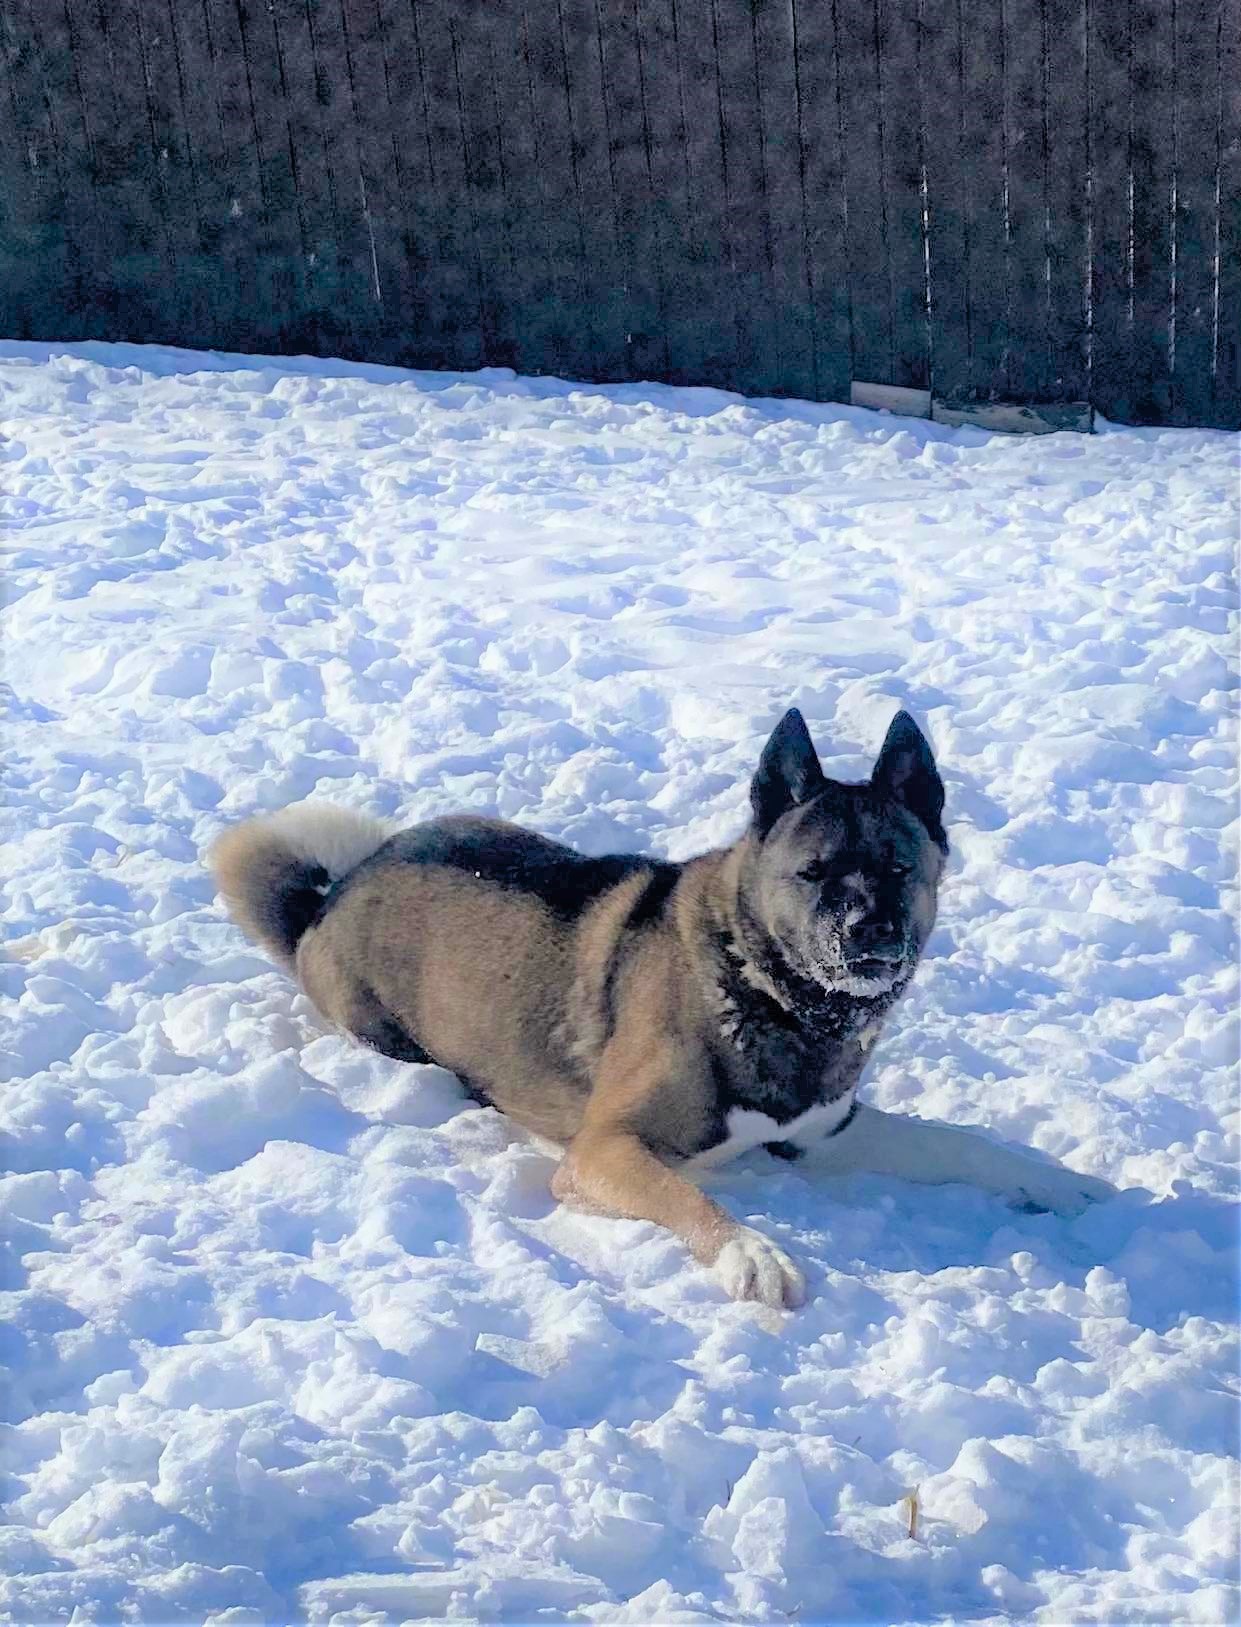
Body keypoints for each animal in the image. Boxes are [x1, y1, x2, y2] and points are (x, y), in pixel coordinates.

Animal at [208, 712, 1112, 1308]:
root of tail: (333, 895)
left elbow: (962, 1143)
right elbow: (690, 1198)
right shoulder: (602, 1151)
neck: (766, 992)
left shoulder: (826, 1134)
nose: (869, 933)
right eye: (814, 872)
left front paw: (1055, 1179)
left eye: (897, 868)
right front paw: (753, 1253)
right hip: (386, 1033)